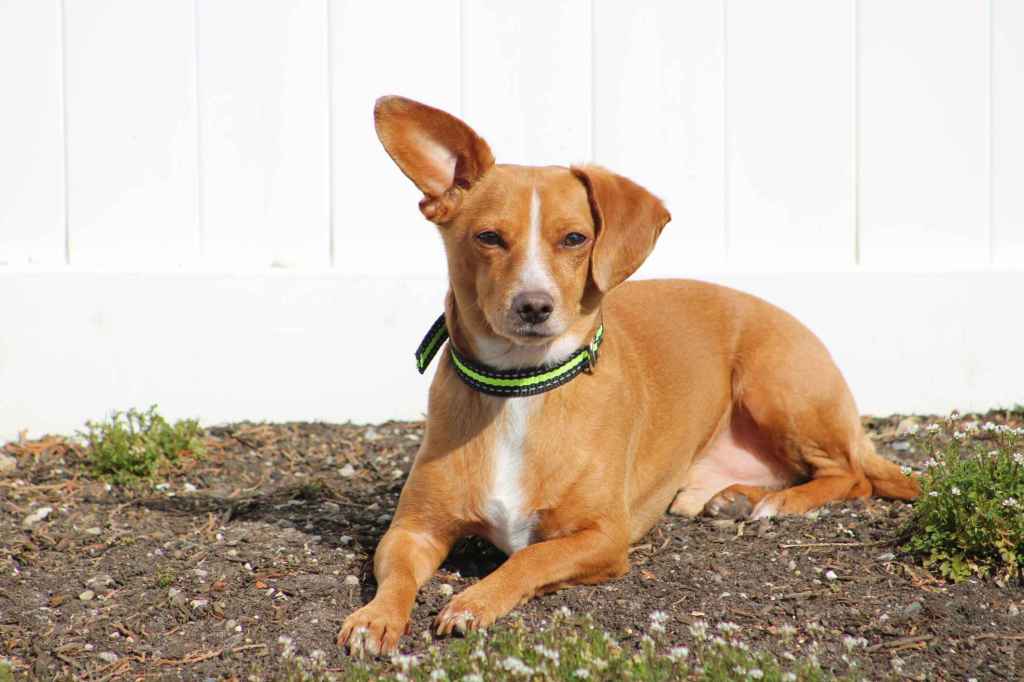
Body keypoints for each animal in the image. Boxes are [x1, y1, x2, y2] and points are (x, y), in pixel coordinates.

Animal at [337, 95, 921, 655]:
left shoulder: (602, 537)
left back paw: (775, 504)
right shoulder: (411, 530)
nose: (534, 306)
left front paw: (474, 601)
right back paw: (739, 495)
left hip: (775, 386)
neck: (520, 388)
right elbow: (395, 576)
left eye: (575, 239)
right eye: (488, 237)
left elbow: (526, 560)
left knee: (851, 474)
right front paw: (375, 618)